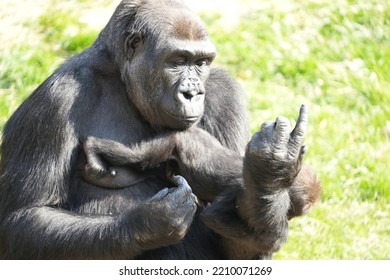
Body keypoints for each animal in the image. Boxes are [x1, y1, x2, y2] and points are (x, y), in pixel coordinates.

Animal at [0, 0, 320, 260]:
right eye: (177, 61)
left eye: (201, 63)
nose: (193, 93)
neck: (123, 79)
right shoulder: (56, 98)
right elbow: (22, 220)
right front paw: (149, 223)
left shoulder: (225, 94)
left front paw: (268, 176)